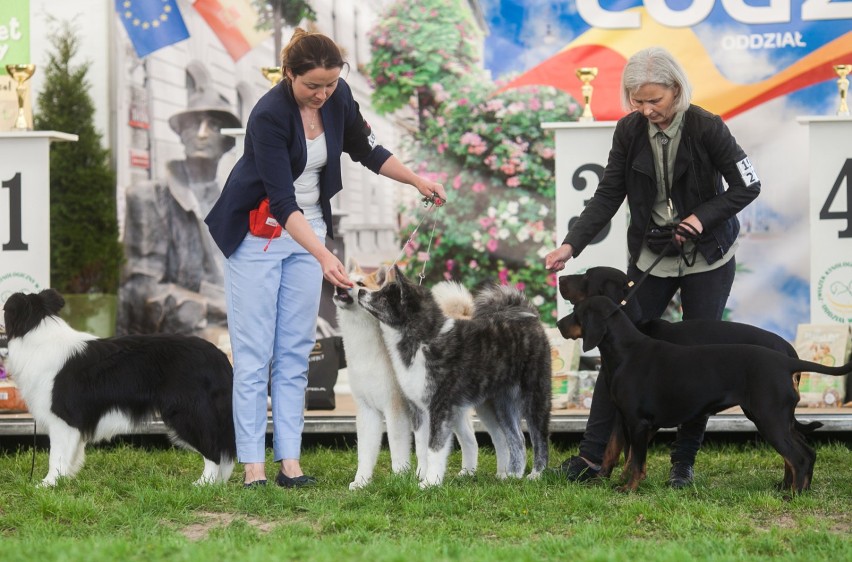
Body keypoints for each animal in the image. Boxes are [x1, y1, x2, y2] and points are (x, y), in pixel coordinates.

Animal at [560, 296, 852, 492]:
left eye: (576, 312)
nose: (558, 324)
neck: (625, 351)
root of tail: (787, 361)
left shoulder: (639, 422)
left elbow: (636, 462)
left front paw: (628, 488)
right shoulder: (624, 418)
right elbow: (615, 451)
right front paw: (604, 481)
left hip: (770, 419)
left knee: (799, 457)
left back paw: (794, 494)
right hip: (778, 419)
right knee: (804, 453)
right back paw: (790, 489)